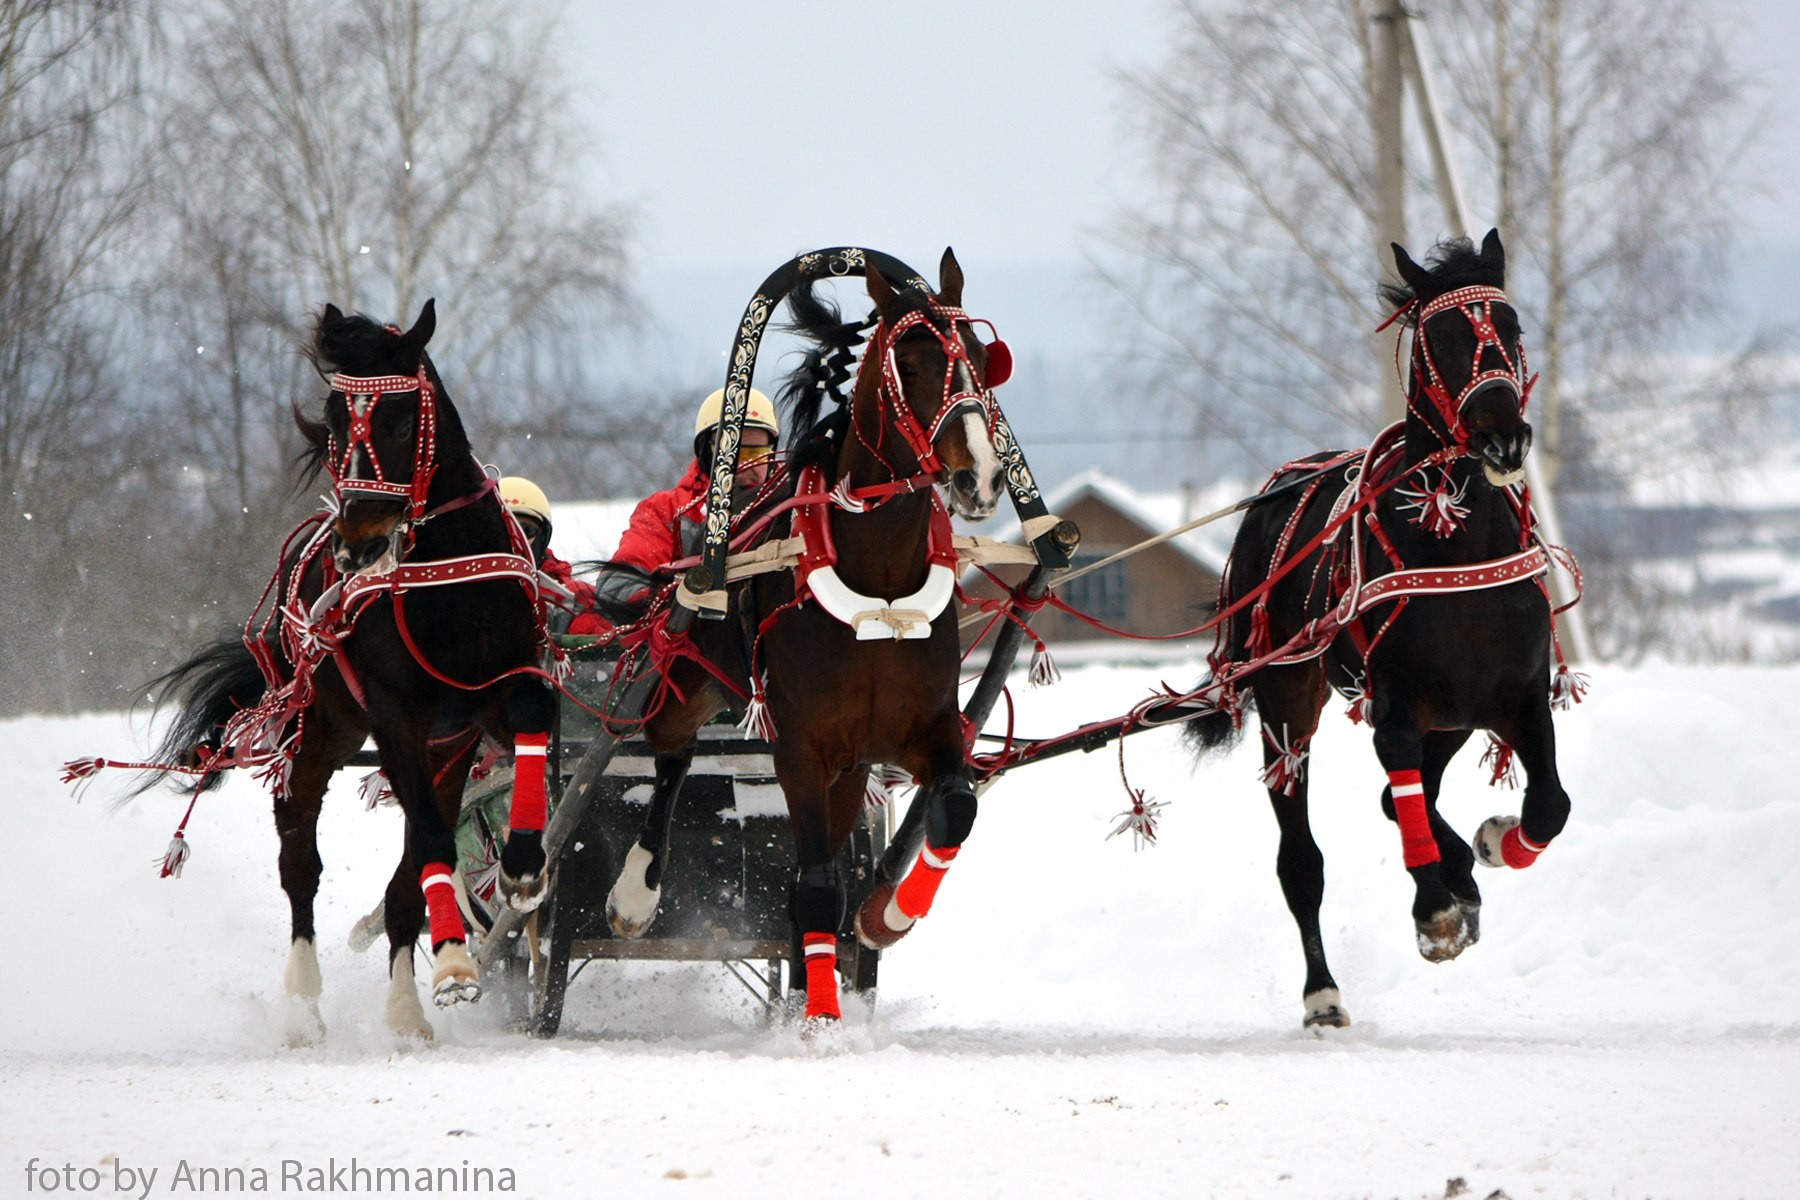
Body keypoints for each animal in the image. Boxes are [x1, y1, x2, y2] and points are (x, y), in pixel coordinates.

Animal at [144, 302, 554, 1043]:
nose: (358, 542)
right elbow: (425, 840)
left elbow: (532, 719)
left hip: (441, 752)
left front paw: (523, 867)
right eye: (336, 418)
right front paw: (455, 965)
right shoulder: (395, 715)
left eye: (401, 419)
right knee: (299, 862)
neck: (445, 574)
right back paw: (305, 1006)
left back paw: (405, 1009)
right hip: (318, 732)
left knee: (405, 877)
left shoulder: (490, 695)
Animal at [597, 251, 1008, 1021]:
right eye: (910, 362)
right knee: (669, 754)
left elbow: (955, 812)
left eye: (976, 358)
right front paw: (819, 1022)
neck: (879, 585)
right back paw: (635, 892)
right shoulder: (799, 748)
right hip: (688, 679)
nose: (982, 478)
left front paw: (887, 915)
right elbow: (817, 886)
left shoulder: (926, 730)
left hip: (848, 770)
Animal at [1173, 233, 1569, 1036]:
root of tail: (1276, 492)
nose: (1505, 439)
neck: (1454, 548)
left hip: (1450, 718)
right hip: (1288, 696)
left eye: (1509, 326)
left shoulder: (1517, 694)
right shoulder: (1395, 703)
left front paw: (1494, 843)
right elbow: (1396, 796)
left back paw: (1464, 871)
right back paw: (1325, 990)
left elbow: (1550, 806)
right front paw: (1437, 911)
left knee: (1398, 800)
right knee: (1302, 859)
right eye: (1442, 339)